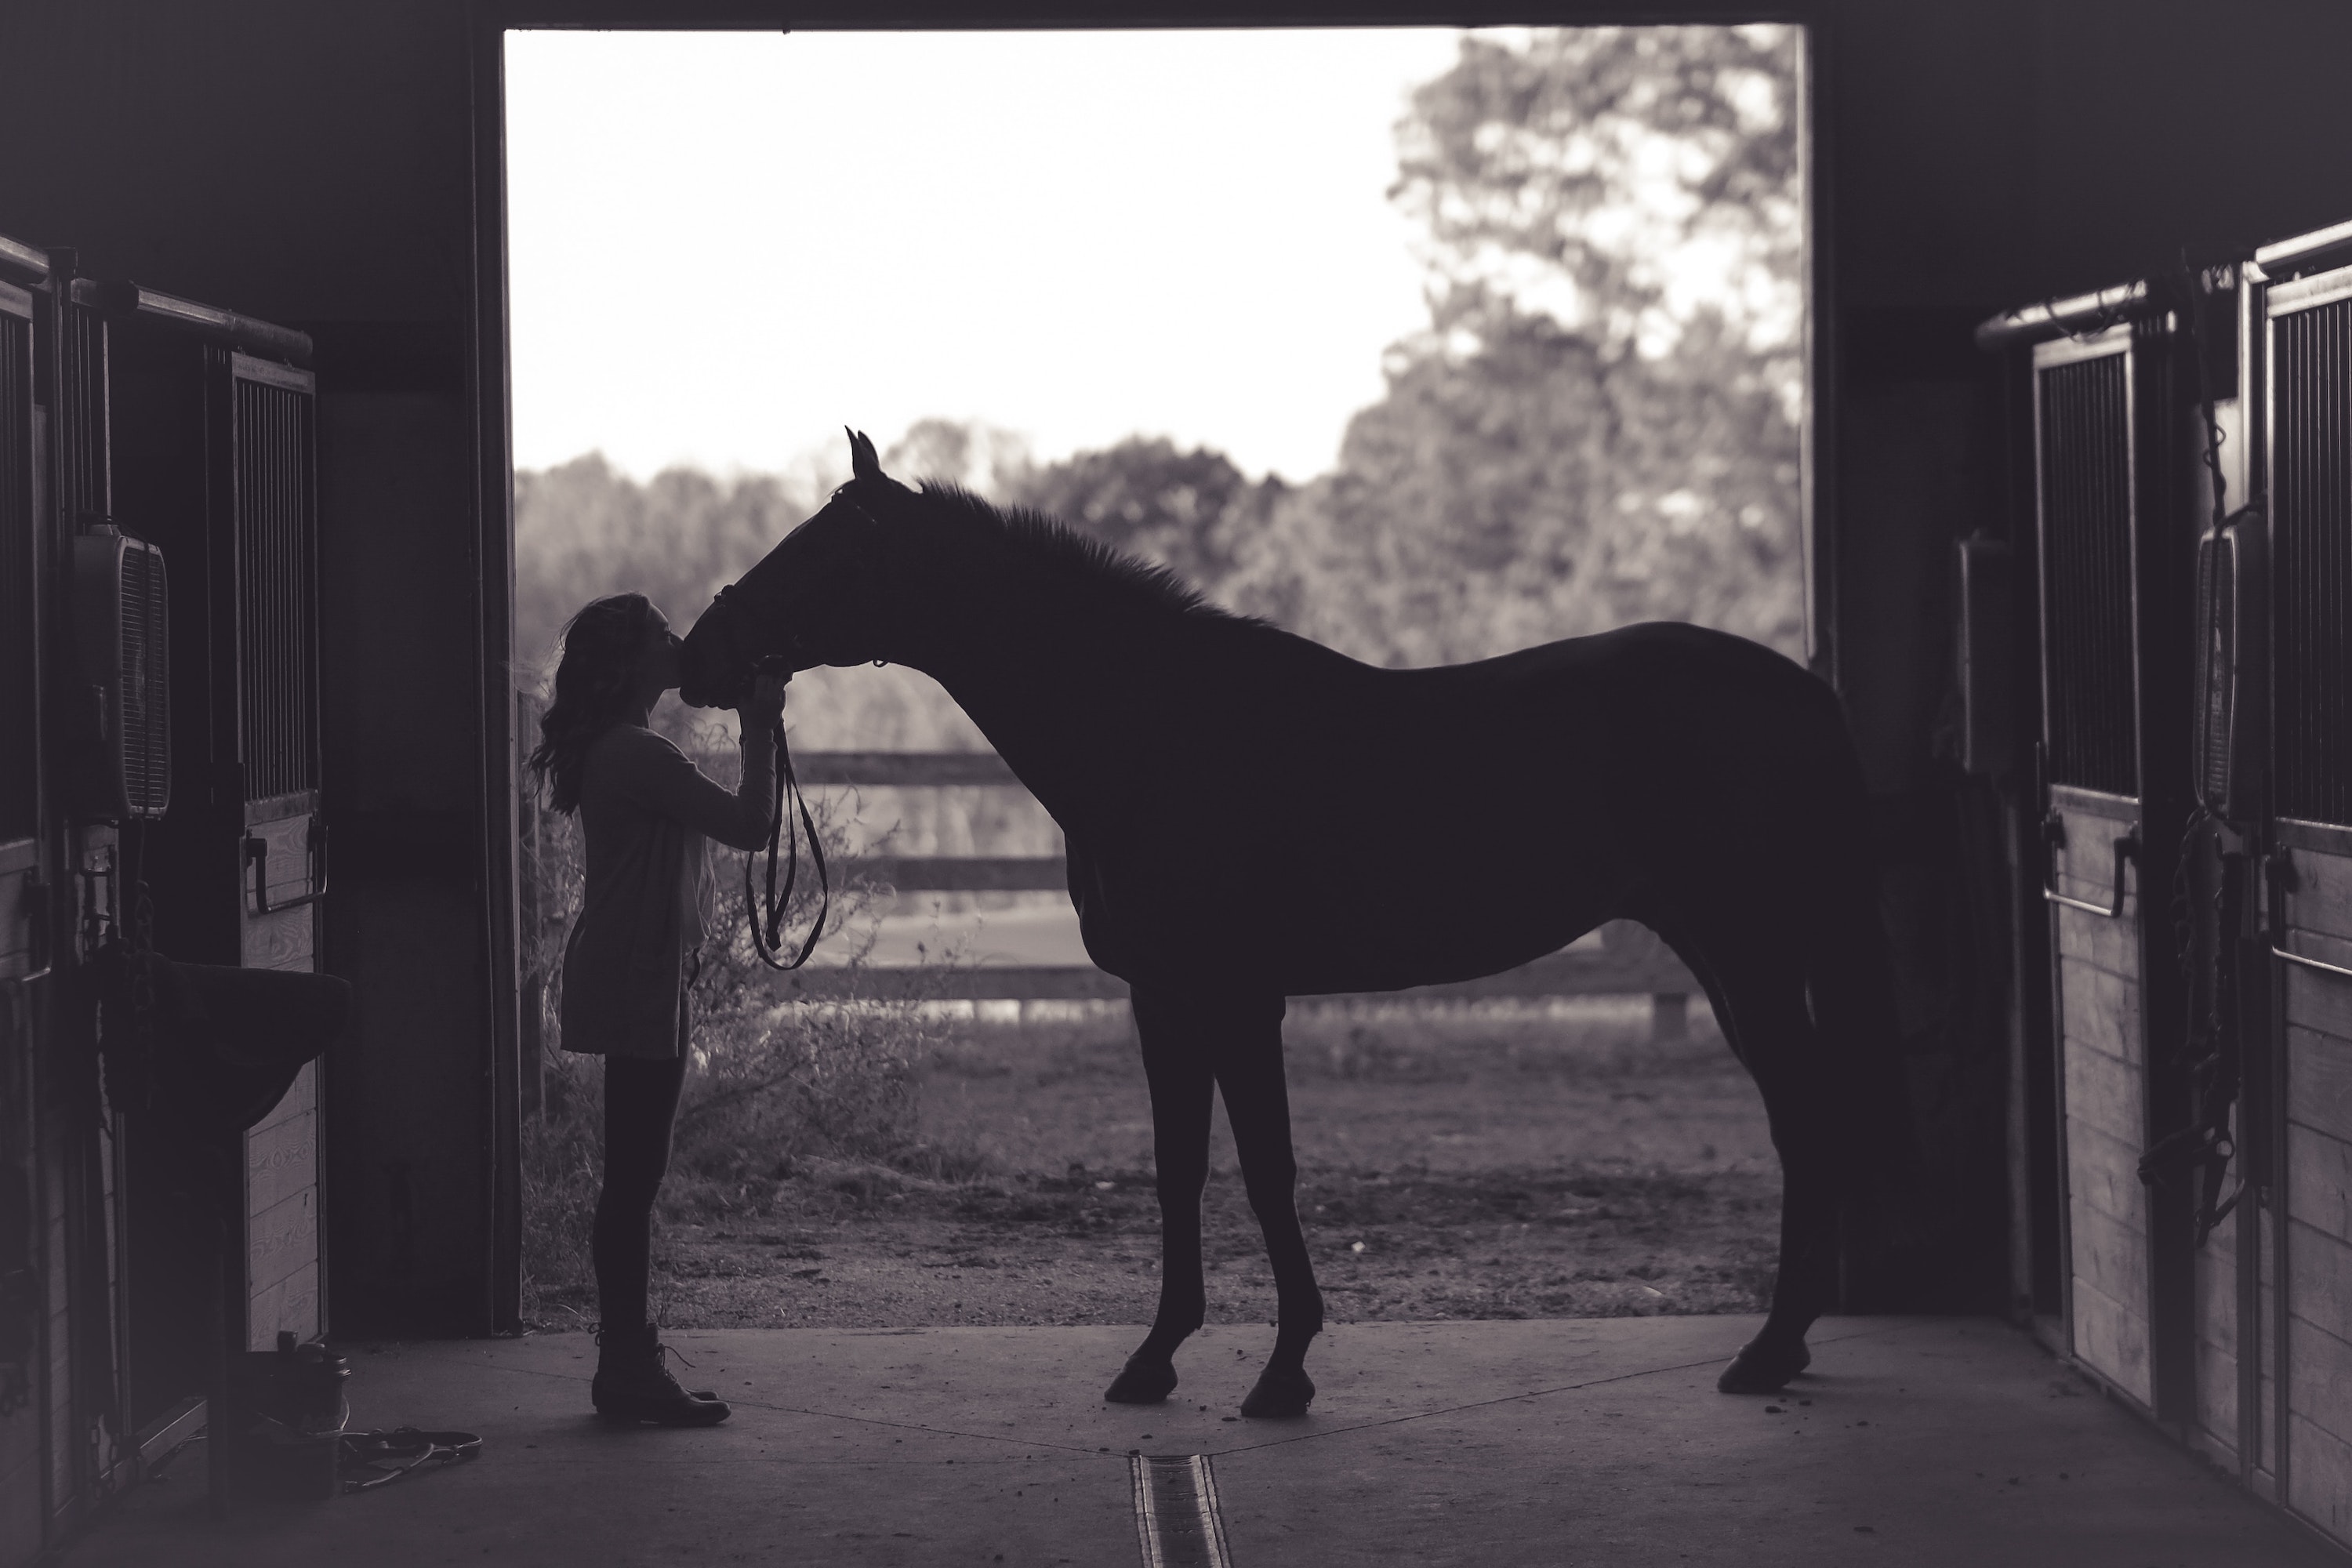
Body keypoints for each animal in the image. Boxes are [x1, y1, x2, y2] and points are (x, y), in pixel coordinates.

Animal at [679, 430, 1907, 1419]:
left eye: (821, 550)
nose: (697, 657)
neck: (1153, 731)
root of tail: (1802, 689)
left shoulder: (1238, 996)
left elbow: (1268, 1169)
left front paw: (1283, 1371)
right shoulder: (1163, 997)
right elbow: (1180, 1169)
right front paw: (1155, 1360)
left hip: (1749, 954)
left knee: (1808, 1120)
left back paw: (1768, 1352)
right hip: (1728, 955)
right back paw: (1782, 1348)